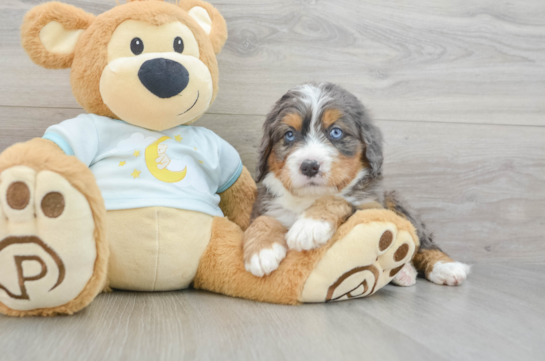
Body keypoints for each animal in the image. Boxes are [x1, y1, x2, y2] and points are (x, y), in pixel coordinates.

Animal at [242, 82, 468, 286]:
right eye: (289, 134)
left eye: (336, 132)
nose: (309, 166)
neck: (309, 198)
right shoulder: (265, 204)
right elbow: (262, 220)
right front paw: (261, 251)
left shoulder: (371, 206)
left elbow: (337, 199)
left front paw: (309, 226)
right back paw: (405, 273)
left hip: (395, 200)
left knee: (424, 242)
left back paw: (446, 268)